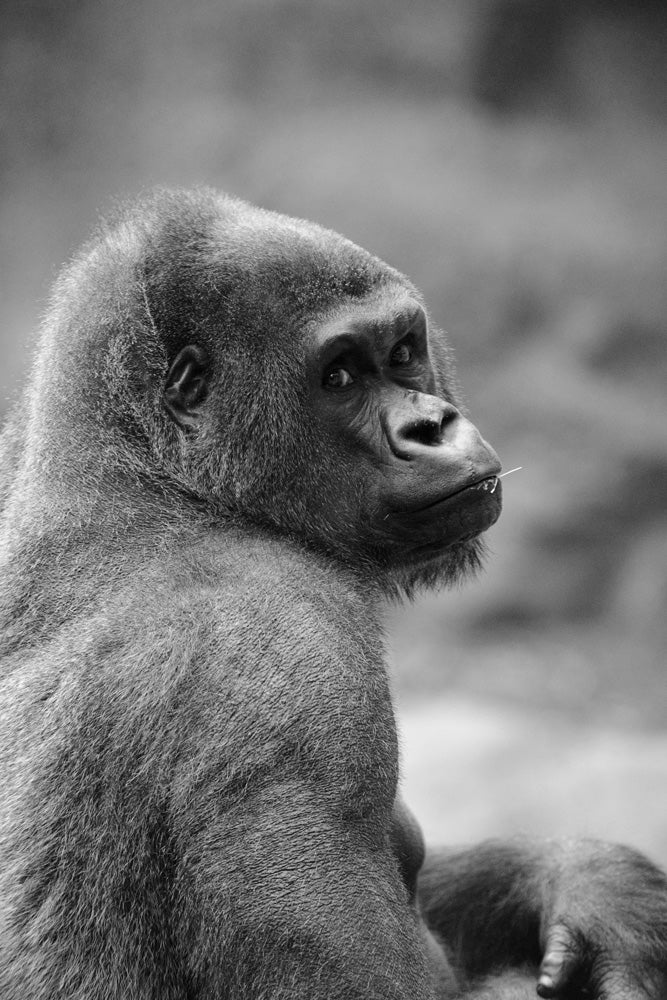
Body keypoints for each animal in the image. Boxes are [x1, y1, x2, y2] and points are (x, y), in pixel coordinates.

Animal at [0, 187, 665, 999]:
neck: (157, 481)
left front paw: (596, 883)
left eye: (403, 352)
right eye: (340, 377)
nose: (431, 426)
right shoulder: (289, 662)